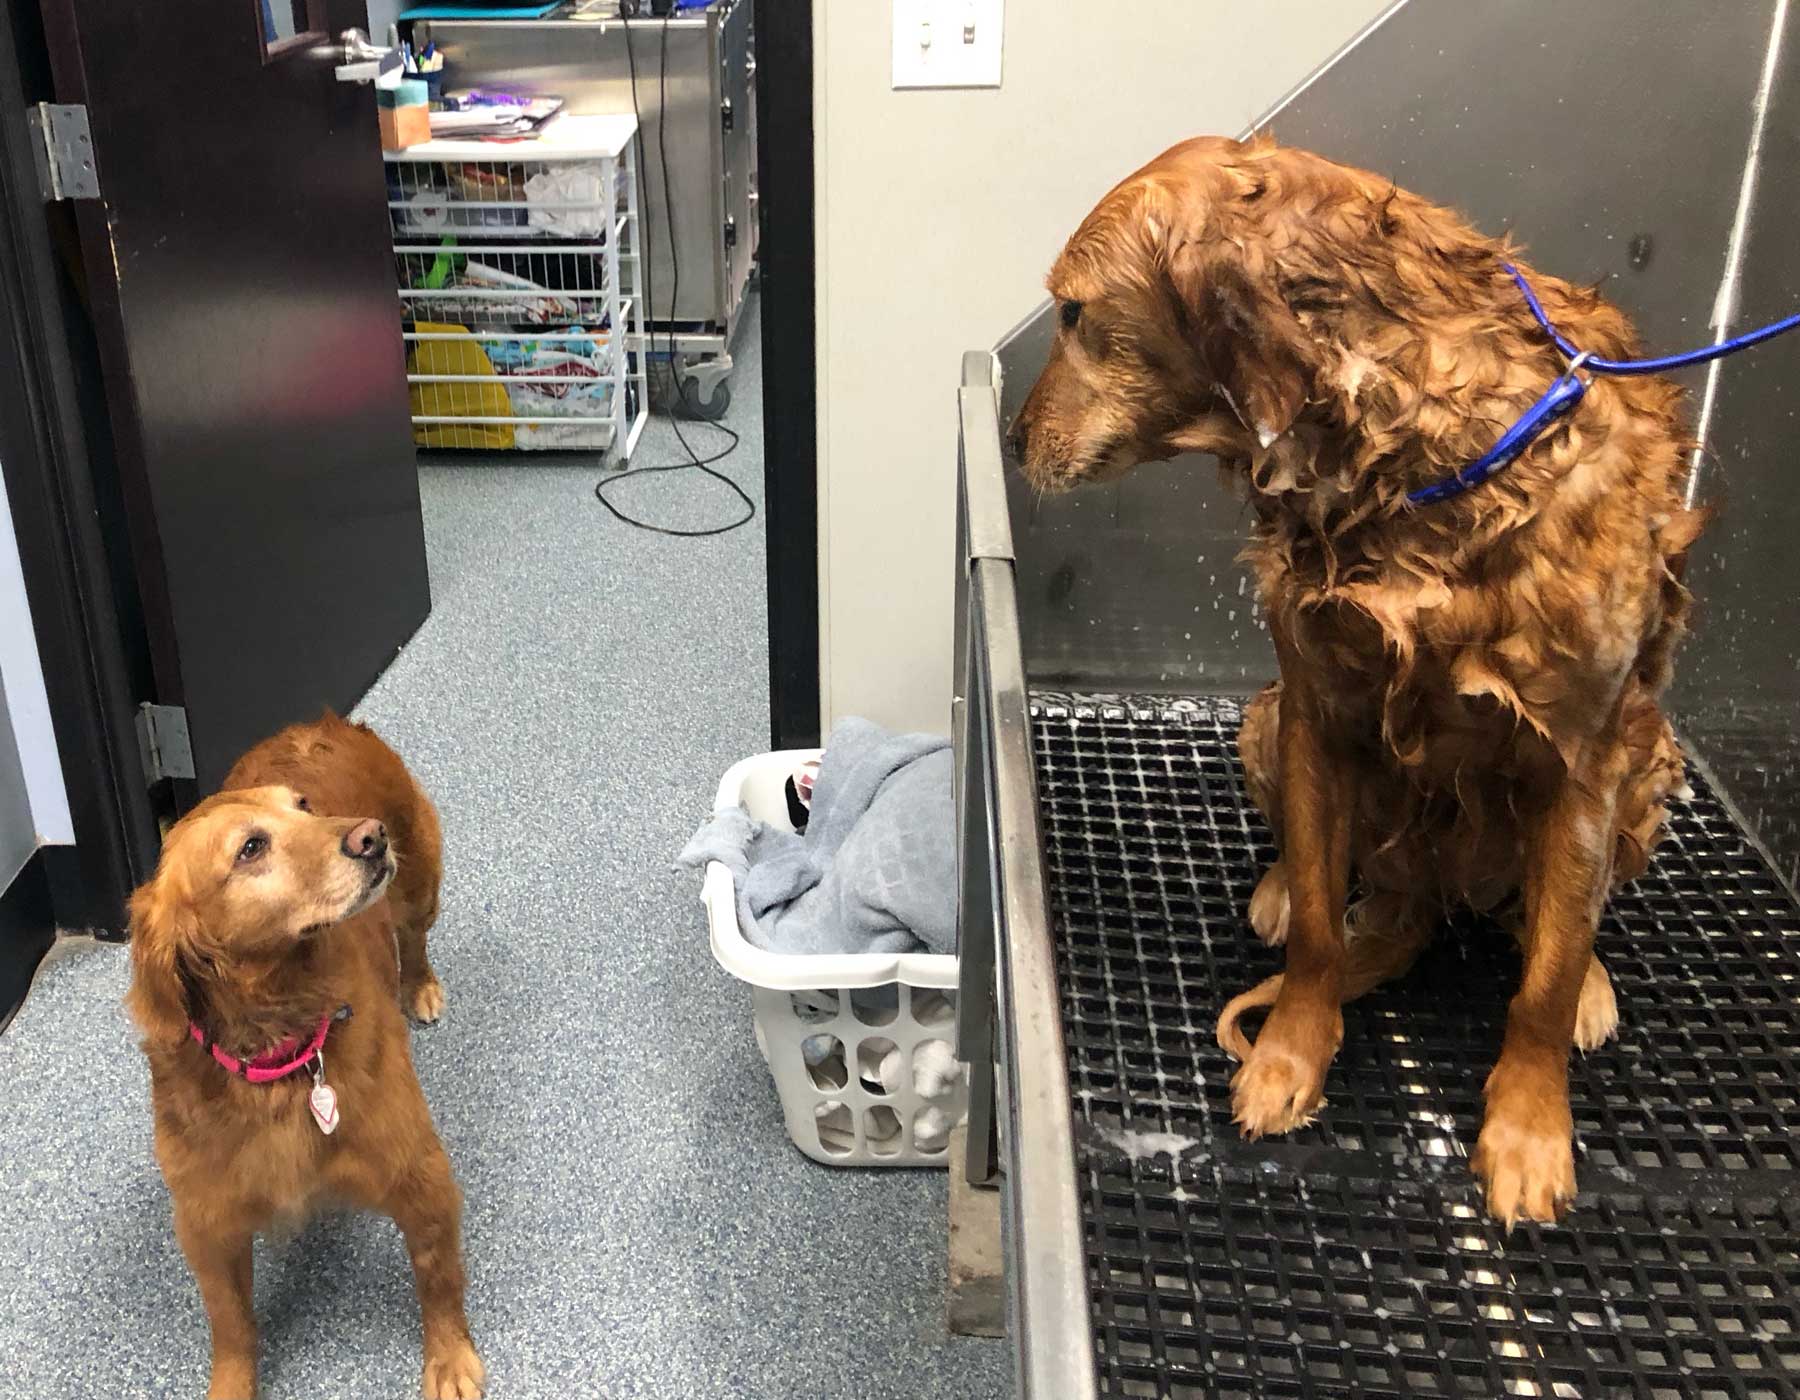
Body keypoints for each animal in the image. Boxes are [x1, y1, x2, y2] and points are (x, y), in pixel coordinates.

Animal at [126, 712, 483, 1399]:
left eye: (304, 807)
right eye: (250, 848)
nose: (370, 835)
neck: (279, 1058)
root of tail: (328, 721)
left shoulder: (420, 1171)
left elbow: (437, 1275)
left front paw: (450, 1358)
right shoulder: (207, 1224)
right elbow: (232, 1327)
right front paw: (233, 1386)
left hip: (420, 882)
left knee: (412, 936)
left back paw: (419, 985)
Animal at [1008, 135, 1705, 1225]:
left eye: (1075, 314)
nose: (1007, 438)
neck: (1422, 476)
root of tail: (1432, 895)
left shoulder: (1585, 761)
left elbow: (1538, 990)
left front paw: (1529, 1130)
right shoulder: (1314, 707)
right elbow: (1319, 945)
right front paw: (1290, 1057)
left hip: (1647, 759)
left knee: (1555, 925)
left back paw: (1589, 977)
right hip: (1262, 720)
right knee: (1329, 881)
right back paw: (1282, 889)